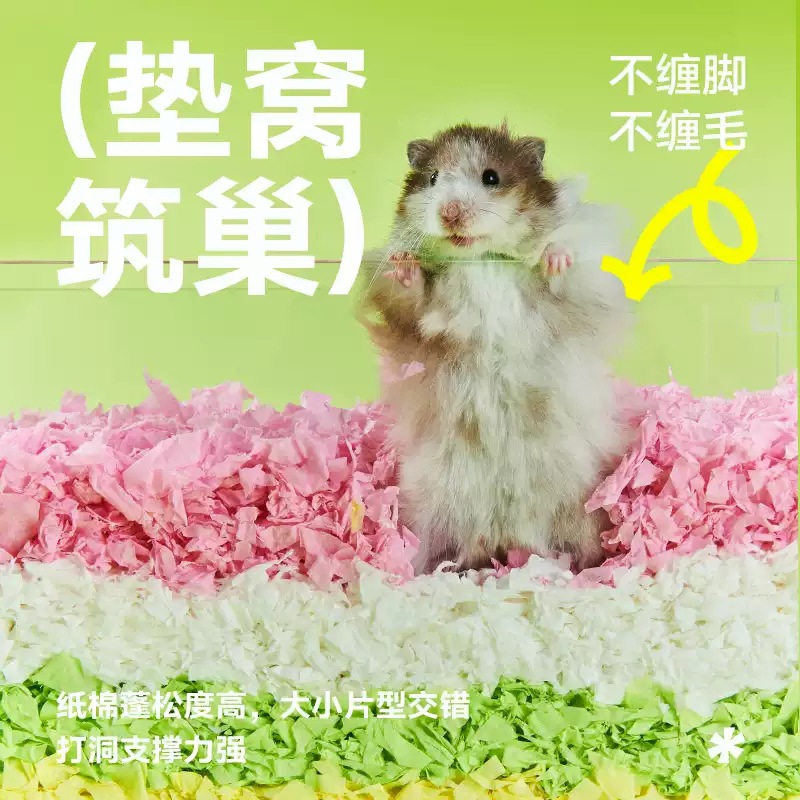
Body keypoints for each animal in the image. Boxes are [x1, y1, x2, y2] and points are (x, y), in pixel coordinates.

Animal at [360, 121, 632, 574]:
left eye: (491, 177)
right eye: (432, 178)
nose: (450, 212)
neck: (480, 257)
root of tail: (506, 536)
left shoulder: (579, 284)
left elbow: (564, 268)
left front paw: (554, 257)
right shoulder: (419, 312)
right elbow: (413, 297)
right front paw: (404, 265)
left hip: (579, 503)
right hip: (434, 505)